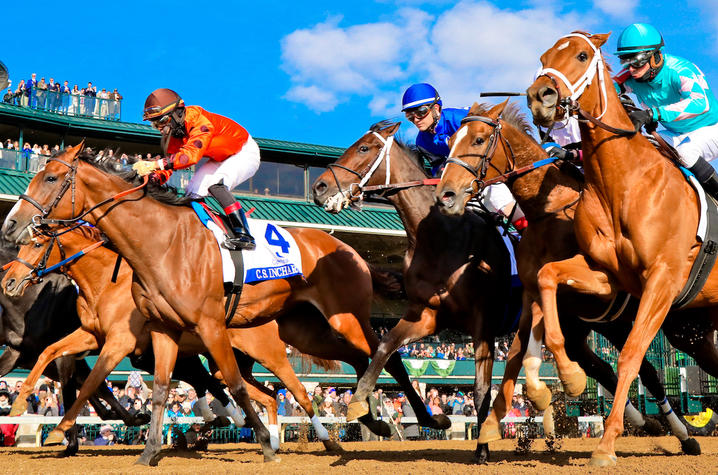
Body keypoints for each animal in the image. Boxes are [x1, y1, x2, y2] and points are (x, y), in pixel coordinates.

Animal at [1, 225, 344, 456]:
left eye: (35, 243)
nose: (10, 281)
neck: (104, 282)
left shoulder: (120, 343)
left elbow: (91, 382)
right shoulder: (91, 336)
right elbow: (50, 352)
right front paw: (18, 403)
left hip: (268, 354)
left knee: (298, 392)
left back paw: (326, 440)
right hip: (235, 362)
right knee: (267, 395)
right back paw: (268, 438)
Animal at [316, 122, 528, 464]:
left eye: (363, 148)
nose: (319, 187)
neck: (441, 239)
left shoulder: (483, 323)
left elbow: (481, 388)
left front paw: (482, 448)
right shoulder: (426, 316)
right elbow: (386, 348)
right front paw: (361, 400)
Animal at [436, 103, 704, 454]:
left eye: (479, 140)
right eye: (449, 141)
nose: (445, 195)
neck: (546, 212)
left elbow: (537, 340)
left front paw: (555, 384)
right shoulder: (537, 295)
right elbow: (518, 351)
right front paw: (505, 415)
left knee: (644, 369)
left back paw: (677, 430)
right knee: (624, 368)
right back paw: (661, 426)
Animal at [524, 32, 718, 464]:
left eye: (582, 54)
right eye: (542, 58)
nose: (539, 96)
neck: (623, 181)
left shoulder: (662, 280)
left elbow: (631, 355)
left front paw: (607, 442)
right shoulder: (606, 277)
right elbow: (546, 276)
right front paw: (570, 377)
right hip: (698, 330)